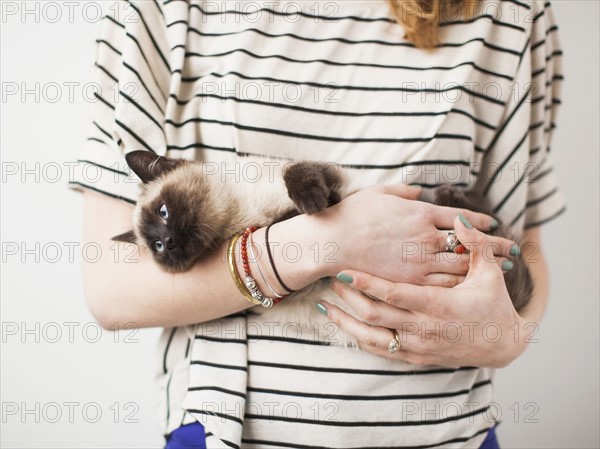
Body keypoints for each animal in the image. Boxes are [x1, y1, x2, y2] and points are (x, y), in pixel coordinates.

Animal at [115, 152, 532, 344]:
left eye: (165, 212)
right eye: (156, 246)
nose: (169, 243)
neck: (238, 215)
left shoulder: (336, 182)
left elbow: (297, 175)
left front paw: (311, 204)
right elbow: (278, 223)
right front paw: (291, 216)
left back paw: (455, 197)